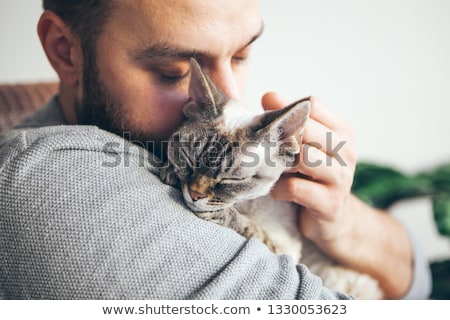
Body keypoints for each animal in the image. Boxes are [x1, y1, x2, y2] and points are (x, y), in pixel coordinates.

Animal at [160, 58, 382, 300]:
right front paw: (170, 171)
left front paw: (220, 213)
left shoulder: (284, 248)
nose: (194, 194)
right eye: (188, 158)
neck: (245, 203)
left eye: (233, 180)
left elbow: (250, 229)